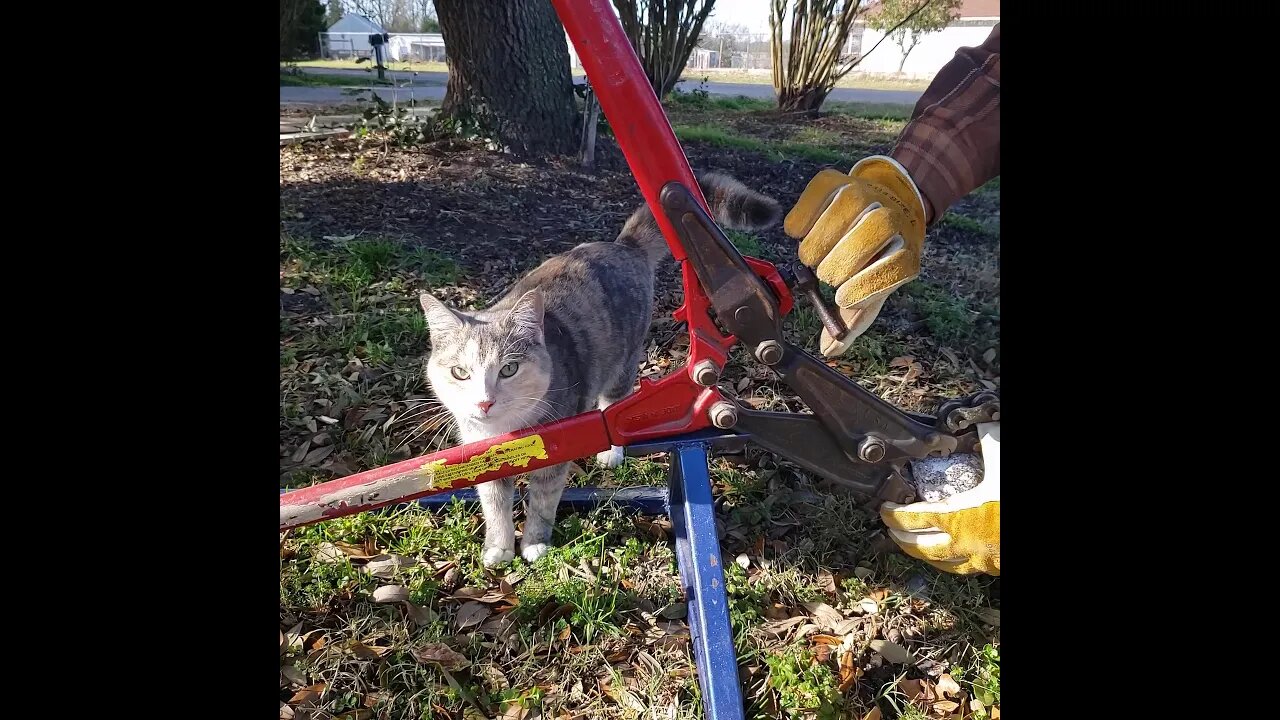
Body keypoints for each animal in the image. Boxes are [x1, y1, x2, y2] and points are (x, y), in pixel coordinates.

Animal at [419, 175, 778, 566]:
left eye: (509, 369)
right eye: (460, 372)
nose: (484, 403)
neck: (507, 430)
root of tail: (623, 246)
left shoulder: (553, 451)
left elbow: (543, 500)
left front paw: (534, 544)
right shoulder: (483, 455)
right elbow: (495, 502)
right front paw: (499, 548)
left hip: (623, 361)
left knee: (614, 405)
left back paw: (610, 451)